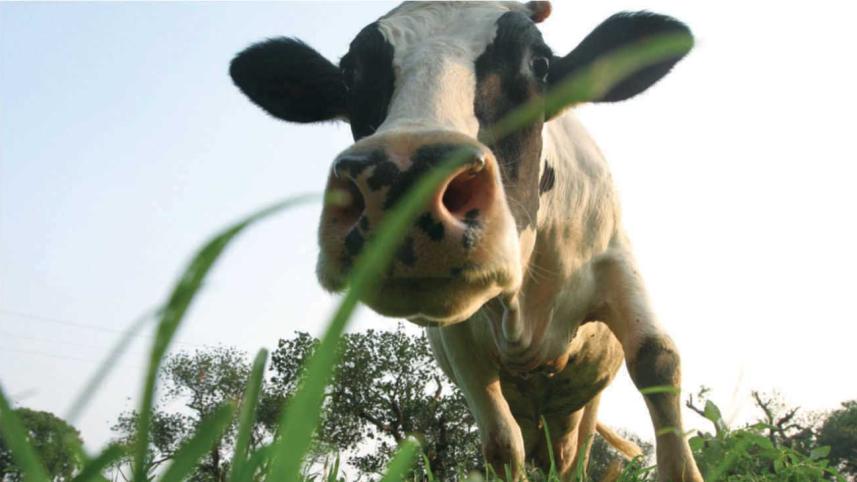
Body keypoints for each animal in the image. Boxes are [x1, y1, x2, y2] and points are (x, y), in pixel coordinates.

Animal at [229, 2, 702, 480]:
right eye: (350, 74)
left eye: (539, 64)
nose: (406, 179)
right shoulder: (458, 339)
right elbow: (501, 441)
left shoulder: (615, 260)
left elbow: (656, 360)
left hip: (581, 408)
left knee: (576, 454)